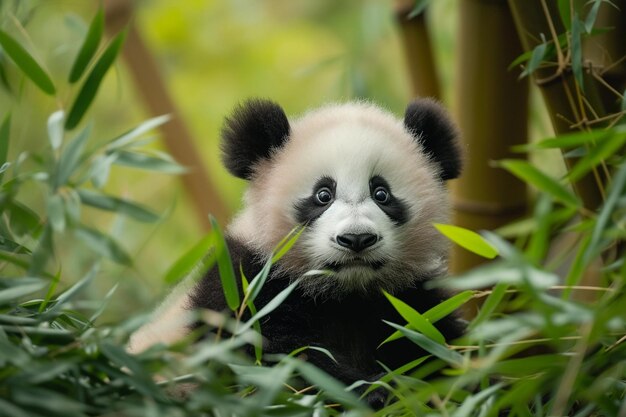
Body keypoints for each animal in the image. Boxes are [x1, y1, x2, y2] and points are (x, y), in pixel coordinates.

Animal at [129, 97, 460, 400]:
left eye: (381, 193)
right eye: (323, 195)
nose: (356, 239)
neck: (344, 293)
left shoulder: (411, 297)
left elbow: (437, 346)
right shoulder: (244, 285)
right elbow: (279, 358)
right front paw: (372, 389)